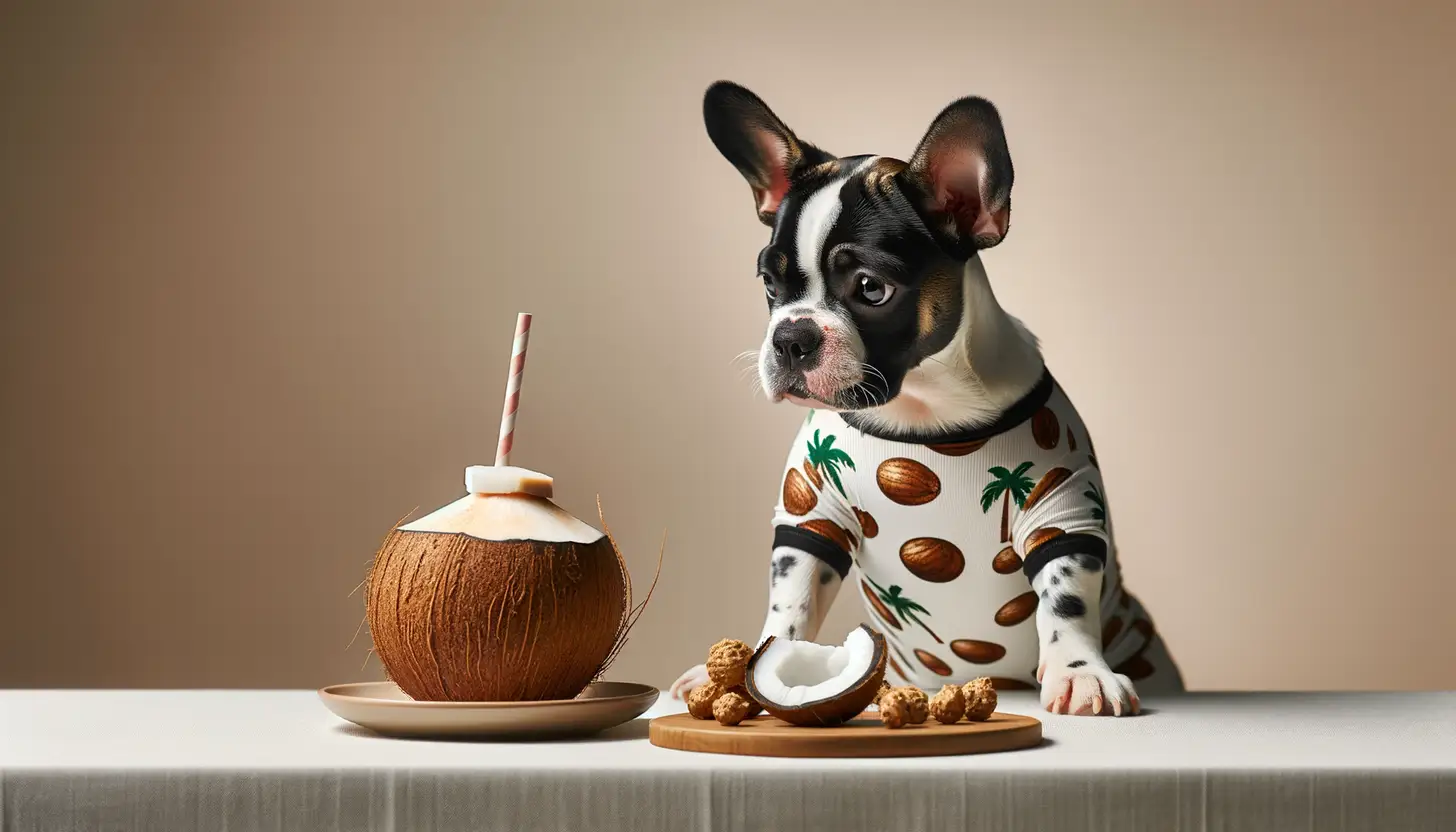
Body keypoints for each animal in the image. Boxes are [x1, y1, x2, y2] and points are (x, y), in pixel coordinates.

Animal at [672, 83, 1182, 716]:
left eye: (872, 288)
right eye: (770, 284)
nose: (792, 337)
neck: (921, 410)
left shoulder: (1062, 507)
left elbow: (1065, 601)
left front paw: (1081, 673)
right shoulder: (810, 513)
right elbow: (789, 603)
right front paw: (752, 670)